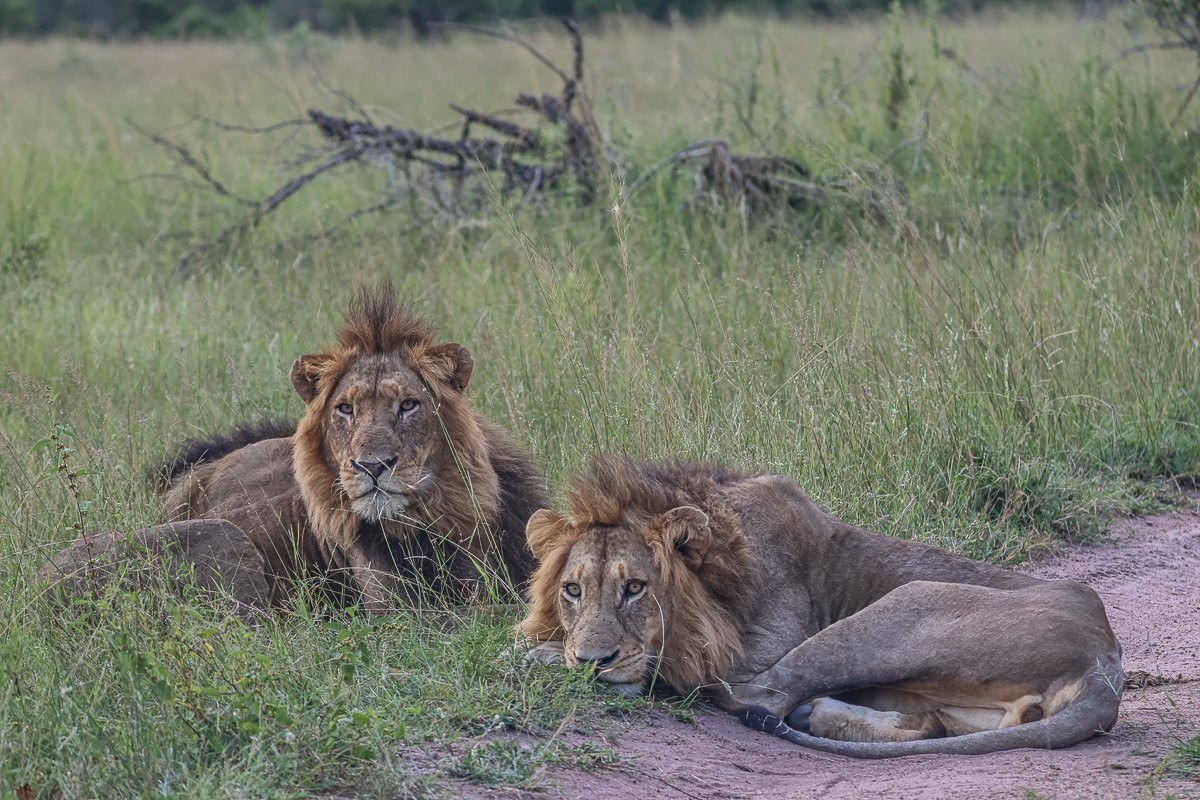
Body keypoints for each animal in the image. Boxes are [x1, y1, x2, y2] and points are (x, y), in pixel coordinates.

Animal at [519, 456, 1124, 758]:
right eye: (572, 590)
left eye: (635, 588)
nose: (591, 662)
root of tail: (1105, 662)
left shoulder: (756, 648)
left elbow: (691, 669)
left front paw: (545, 655)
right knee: (933, 726)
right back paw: (831, 715)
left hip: (906, 603)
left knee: (755, 695)